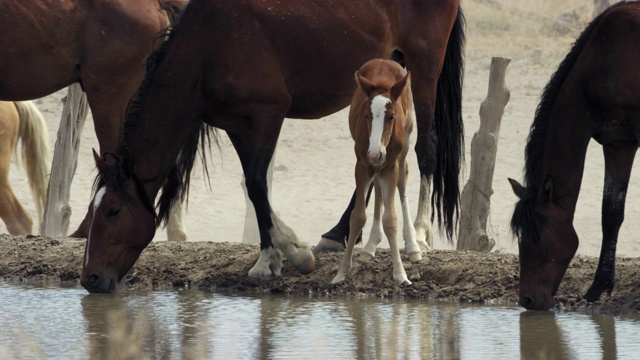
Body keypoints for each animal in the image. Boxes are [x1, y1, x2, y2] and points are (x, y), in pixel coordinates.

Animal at [332, 59, 422, 286]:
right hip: (376, 165)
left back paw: (413, 246)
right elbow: (357, 216)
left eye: (391, 116)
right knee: (379, 188)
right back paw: (370, 245)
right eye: (366, 115)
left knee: (402, 181)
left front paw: (400, 274)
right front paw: (342, 272)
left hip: (403, 149)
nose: (375, 153)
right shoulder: (362, 164)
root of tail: (386, 61)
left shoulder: (390, 166)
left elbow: (391, 220)